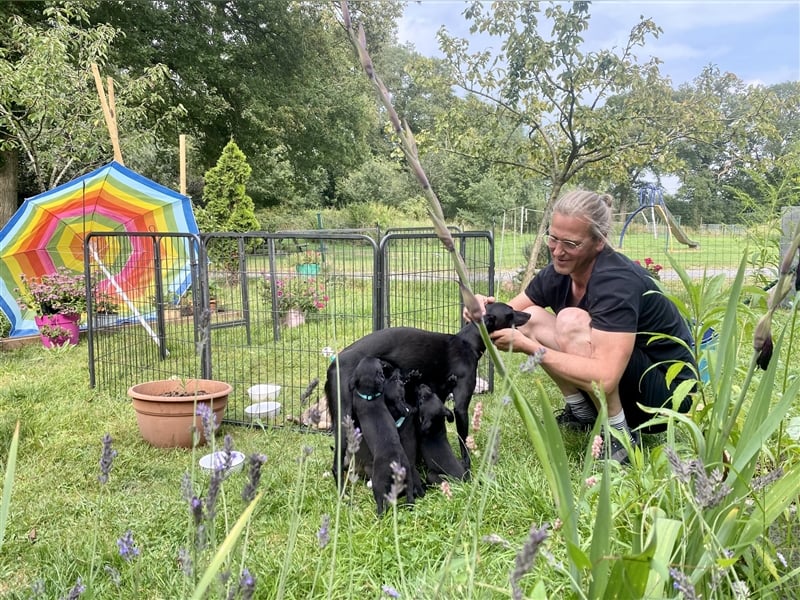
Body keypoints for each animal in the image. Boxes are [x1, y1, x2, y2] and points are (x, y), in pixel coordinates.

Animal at [324, 300, 532, 488]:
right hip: (345, 421)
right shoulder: (460, 407)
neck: (467, 343)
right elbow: (464, 443)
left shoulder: (436, 400)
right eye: (510, 312)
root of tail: (333, 365)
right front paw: (467, 470)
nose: (529, 314)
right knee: (336, 465)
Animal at [350, 356, 416, 516]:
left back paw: (378, 515)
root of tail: (395, 462)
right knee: (410, 495)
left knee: (380, 503)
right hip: (408, 476)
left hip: (378, 483)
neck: (369, 395)